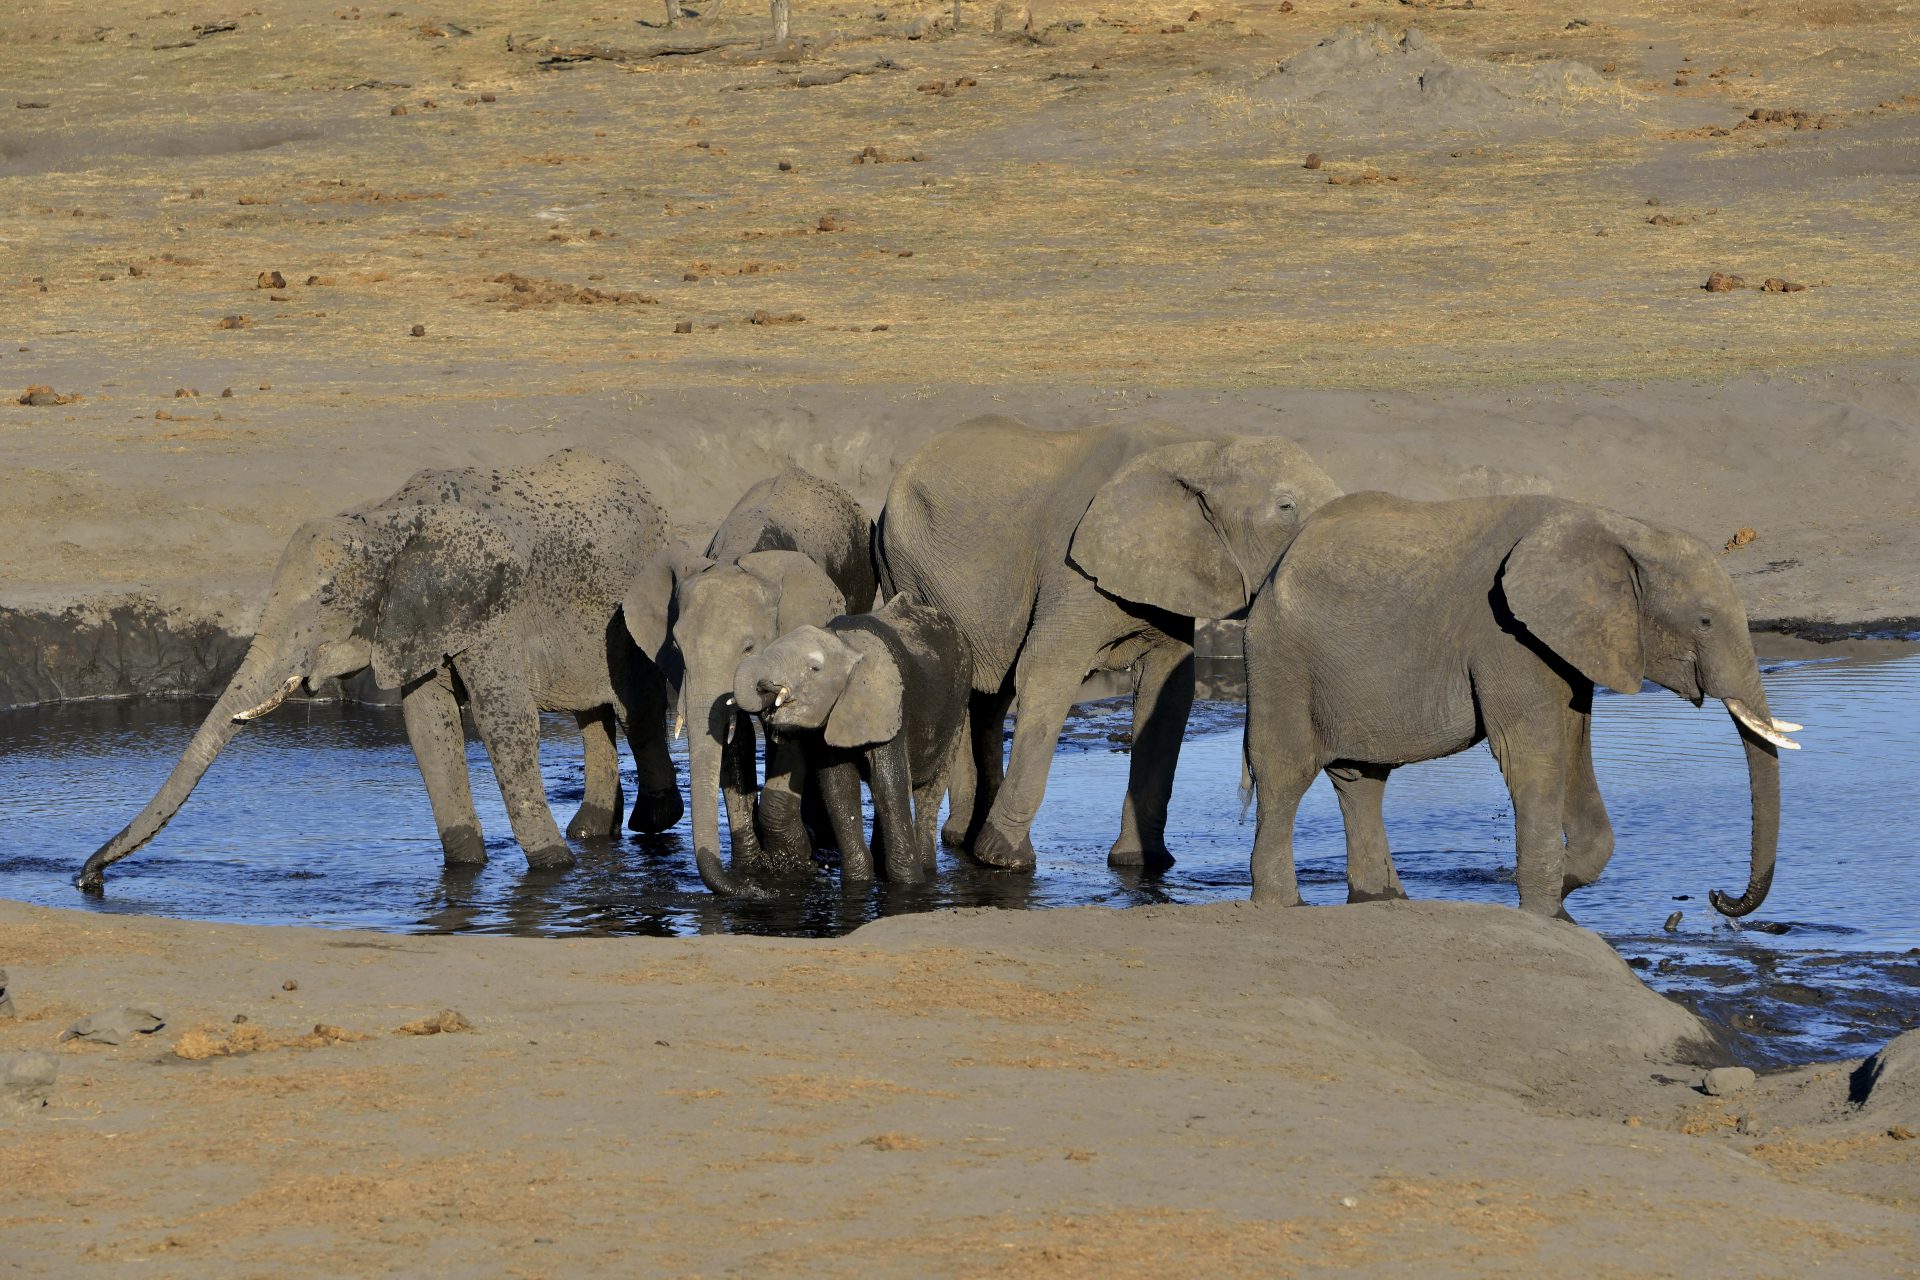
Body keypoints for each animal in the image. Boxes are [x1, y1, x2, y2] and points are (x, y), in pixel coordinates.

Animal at [76, 452, 691, 890]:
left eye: (327, 600)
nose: (88, 878)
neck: (385, 522)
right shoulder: (415, 619)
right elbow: (428, 725)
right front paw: (466, 868)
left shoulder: (491, 611)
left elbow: (505, 720)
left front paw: (553, 868)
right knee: (594, 713)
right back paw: (591, 830)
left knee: (634, 703)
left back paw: (650, 822)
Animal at [733, 594, 975, 886]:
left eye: (814, 668)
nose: (766, 688)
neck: (845, 644)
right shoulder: (833, 717)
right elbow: (839, 787)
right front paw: (858, 881)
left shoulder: (891, 707)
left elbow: (889, 784)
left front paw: (908, 883)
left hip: (958, 706)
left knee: (930, 792)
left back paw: (927, 870)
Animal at [879, 416, 1344, 875]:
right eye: (1286, 507)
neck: (1199, 448)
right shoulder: (1071, 571)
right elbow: (1047, 672)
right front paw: (1004, 860)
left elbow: (1169, 691)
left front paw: (1141, 863)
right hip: (909, 572)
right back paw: (968, 840)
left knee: (990, 697)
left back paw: (963, 836)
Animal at [1236, 491, 1789, 921]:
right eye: (1705, 622)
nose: (1717, 895)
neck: (1617, 526)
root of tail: (1274, 569)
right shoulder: (1505, 633)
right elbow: (1531, 754)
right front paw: (1542, 910)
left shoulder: (1565, 642)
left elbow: (1572, 744)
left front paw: (1558, 894)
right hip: (1281, 658)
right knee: (1285, 773)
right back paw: (1284, 905)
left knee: (1361, 781)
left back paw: (1381, 899)